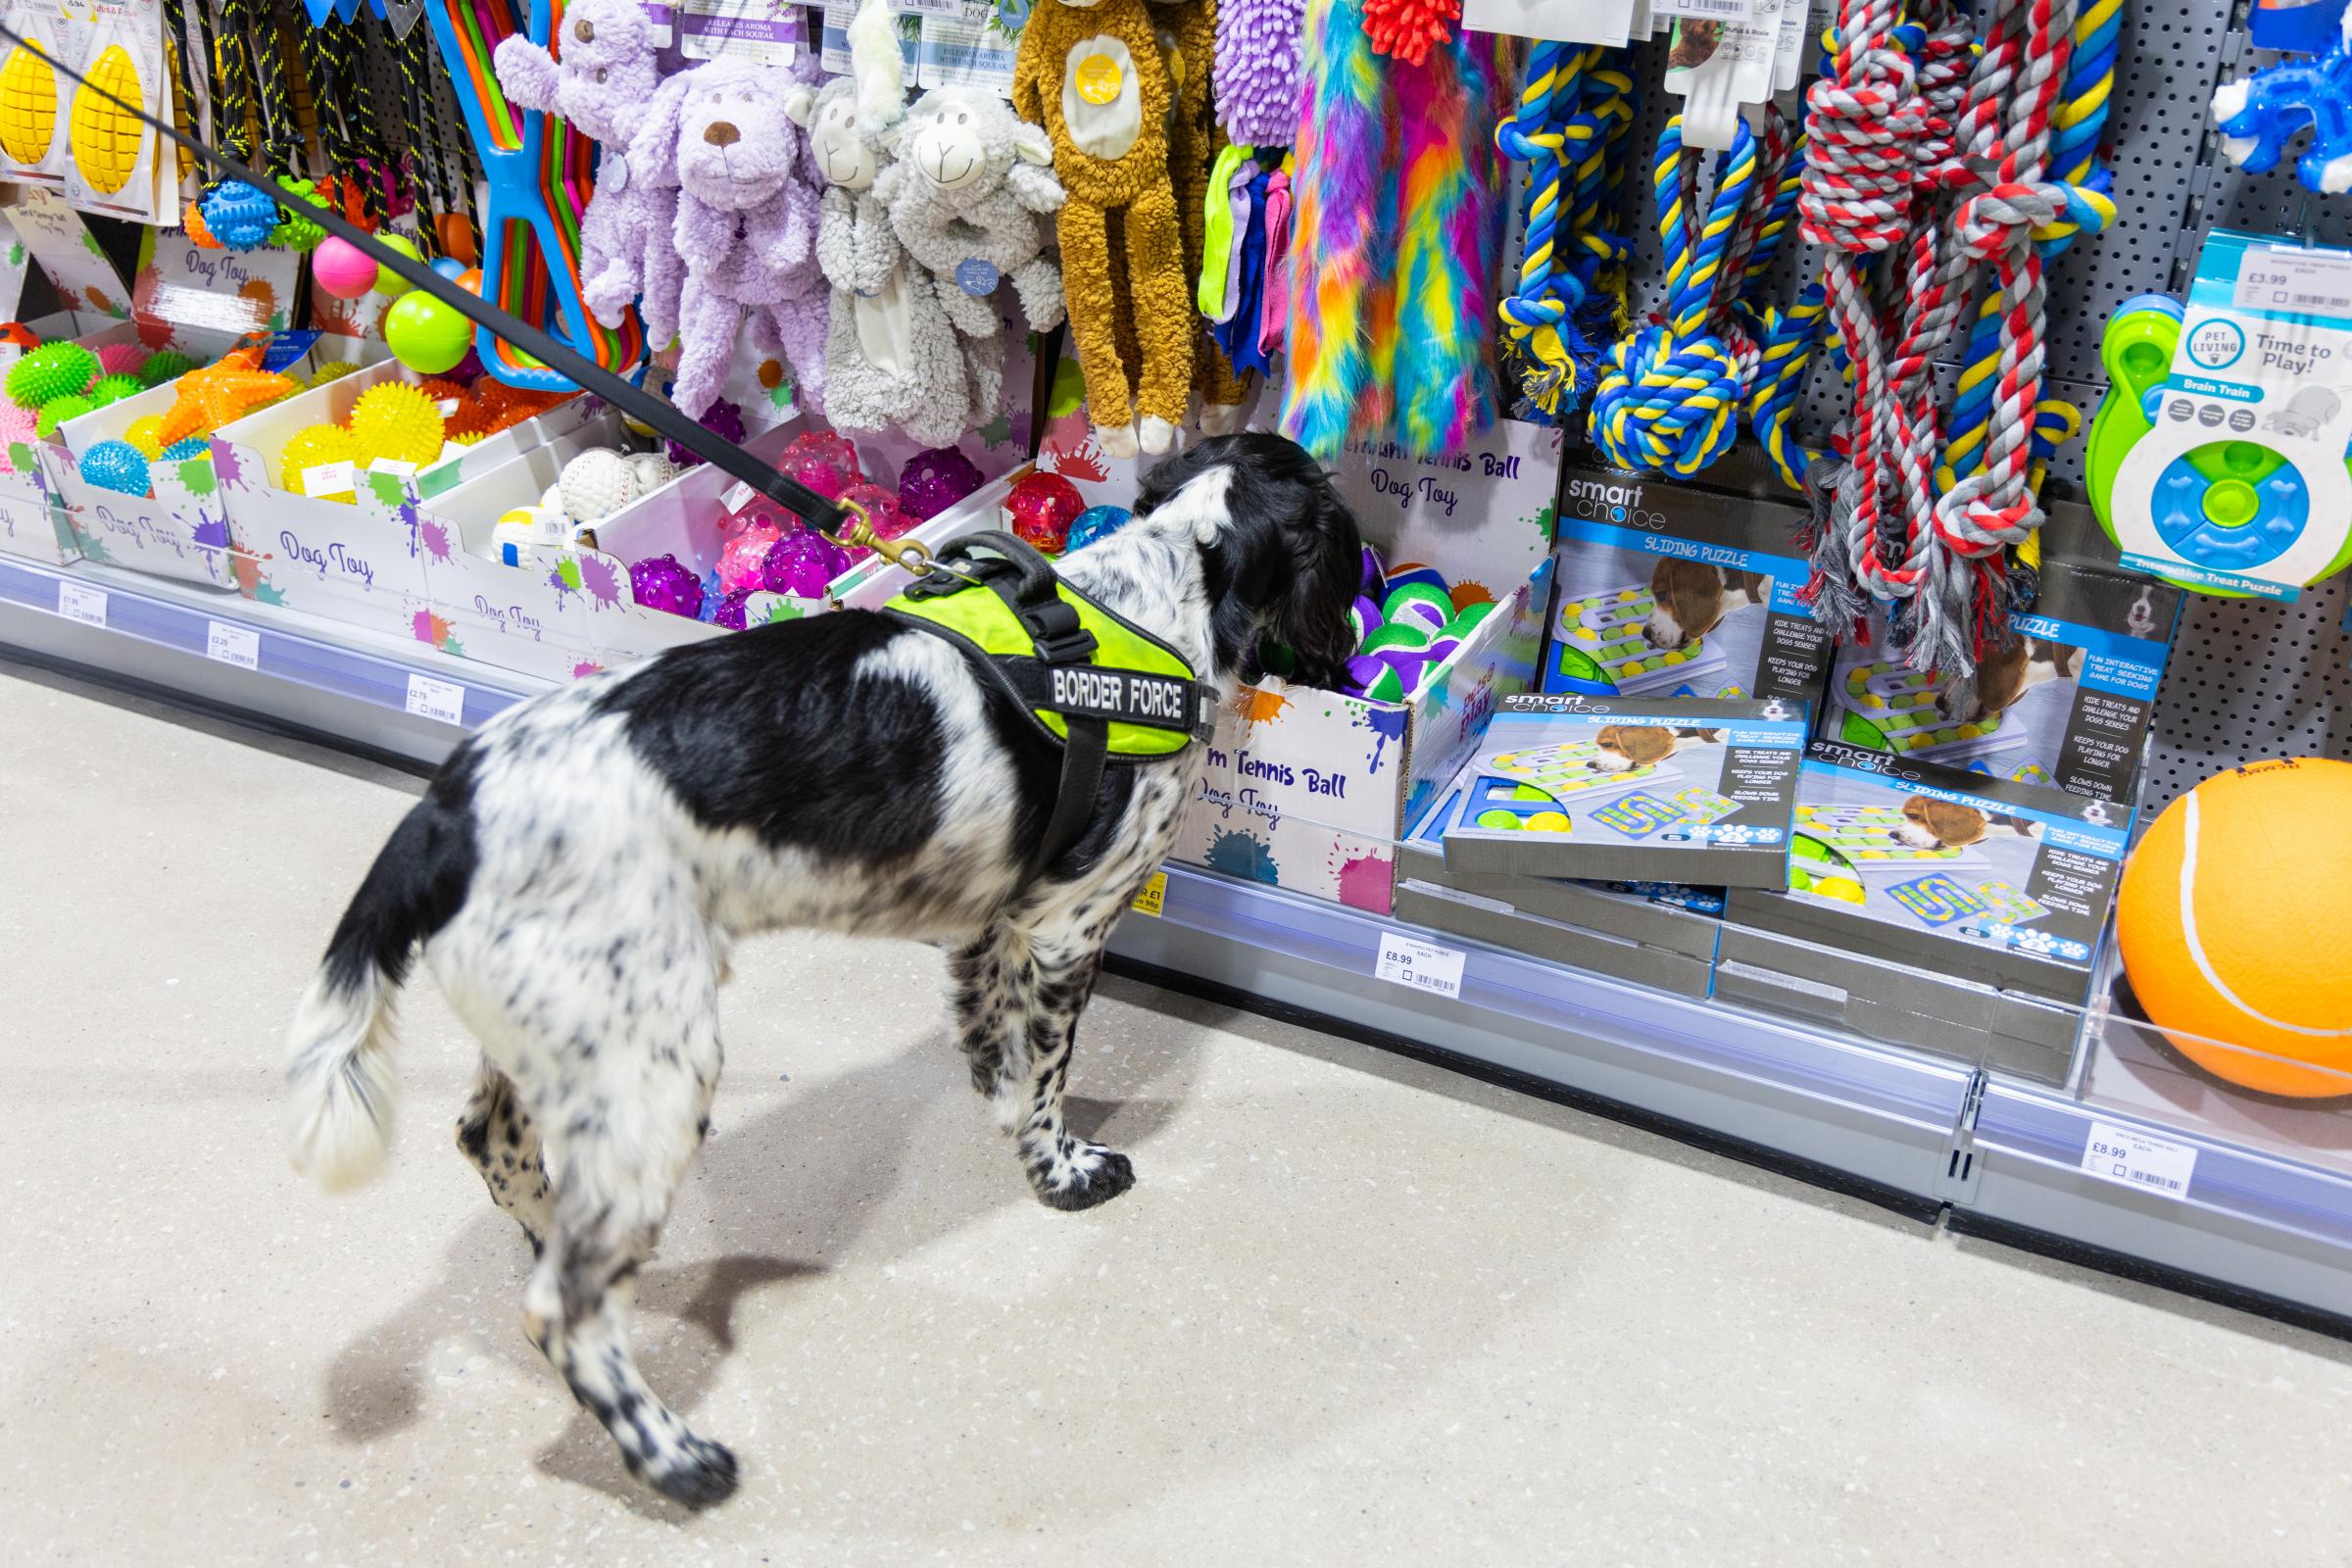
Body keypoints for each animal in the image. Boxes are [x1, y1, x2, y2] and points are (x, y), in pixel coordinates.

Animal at [284, 429, 1364, 1504]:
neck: (1160, 583)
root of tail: (444, 813)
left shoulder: (988, 920)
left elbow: (997, 1054)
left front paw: (1004, 1111)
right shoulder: (1068, 923)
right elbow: (1048, 1079)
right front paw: (1062, 1172)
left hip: (568, 1034)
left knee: (495, 1149)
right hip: (653, 1072)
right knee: (564, 1310)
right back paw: (674, 1457)